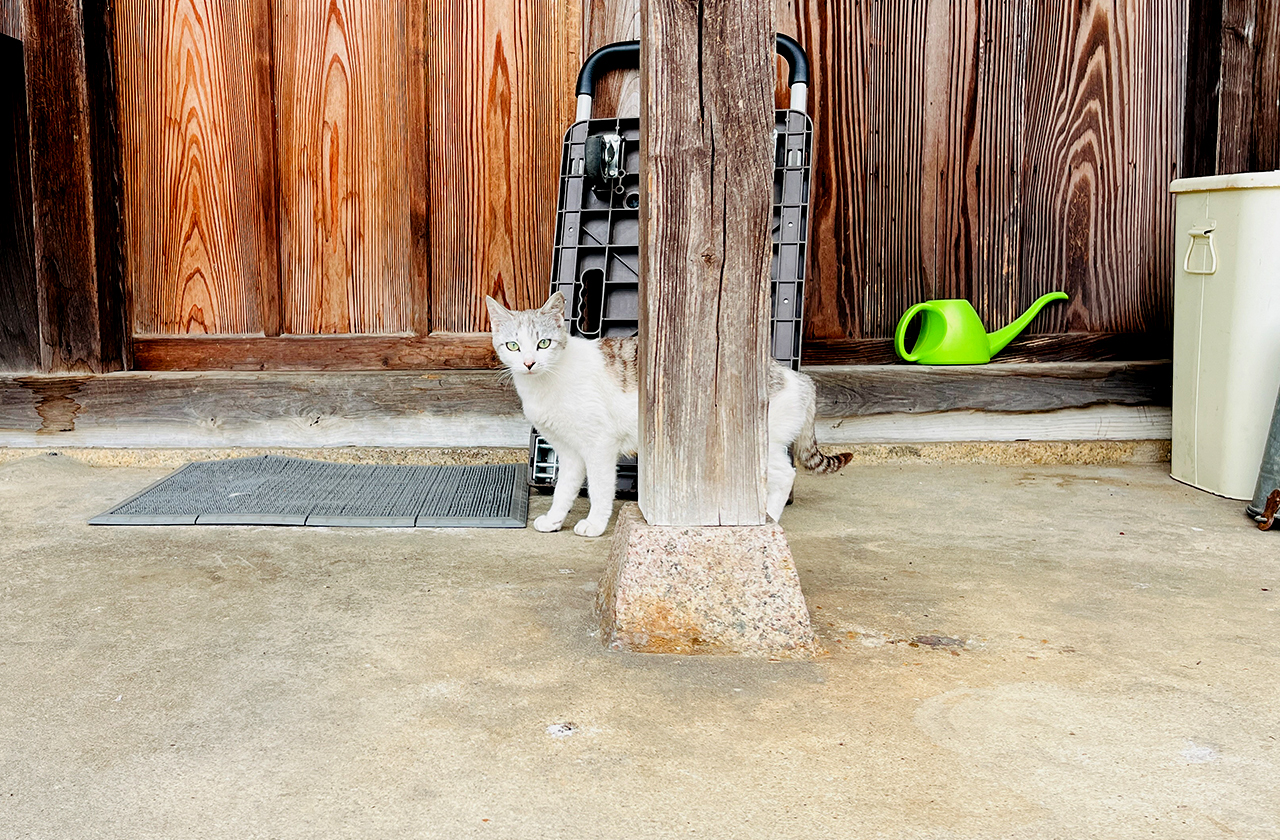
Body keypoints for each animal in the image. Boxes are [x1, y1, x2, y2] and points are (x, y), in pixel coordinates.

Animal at [483, 291, 855, 535]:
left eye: (543, 344)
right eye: (513, 346)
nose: (529, 363)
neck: (546, 382)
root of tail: (795, 376)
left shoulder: (599, 445)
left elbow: (600, 490)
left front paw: (595, 524)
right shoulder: (569, 451)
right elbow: (563, 490)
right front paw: (555, 520)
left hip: (753, 446)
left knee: (785, 475)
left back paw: (770, 516)